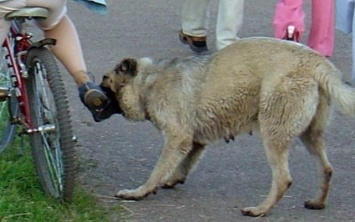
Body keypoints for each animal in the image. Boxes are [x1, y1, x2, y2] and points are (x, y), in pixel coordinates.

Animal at [101, 37, 355, 216]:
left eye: (105, 81)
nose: (94, 92)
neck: (149, 80)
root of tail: (316, 61)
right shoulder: (194, 141)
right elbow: (182, 164)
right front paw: (172, 179)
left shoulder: (177, 137)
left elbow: (157, 171)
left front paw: (140, 191)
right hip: (311, 135)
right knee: (326, 169)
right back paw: (318, 202)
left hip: (273, 133)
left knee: (283, 179)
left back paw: (260, 210)